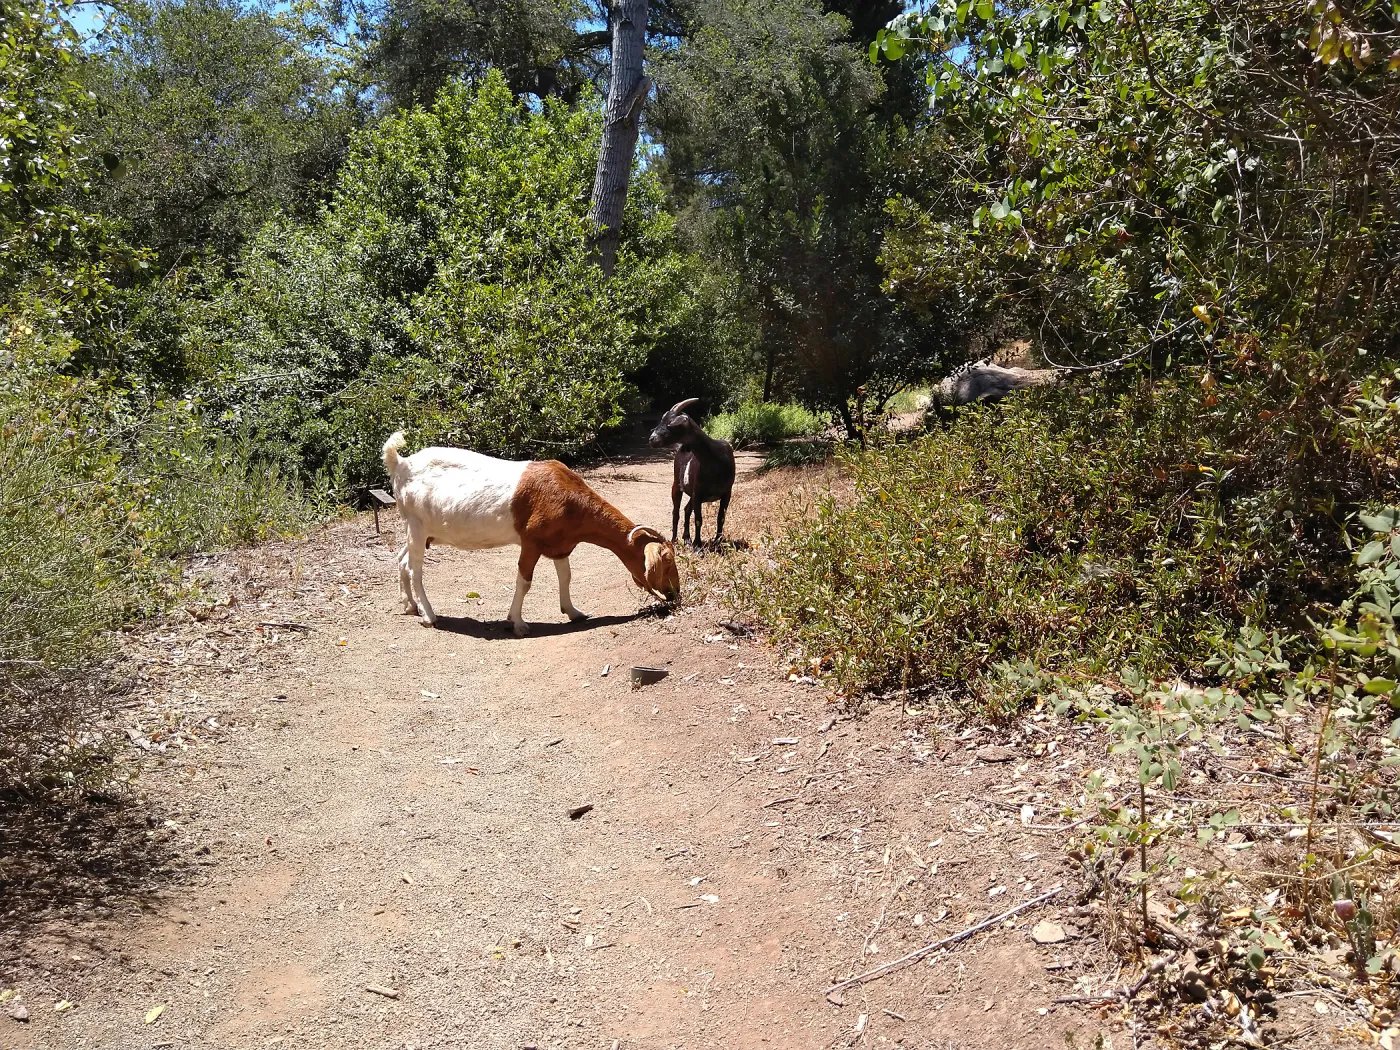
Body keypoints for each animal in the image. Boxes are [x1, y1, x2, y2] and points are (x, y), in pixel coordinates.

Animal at [383, 432, 679, 636]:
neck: (570, 499)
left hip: (418, 530)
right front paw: (517, 623)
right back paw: (429, 615)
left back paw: (409, 605)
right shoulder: (531, 542)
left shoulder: (560, 544)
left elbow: (566, 577)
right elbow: (524, 581)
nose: (674, 594)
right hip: (417, 526)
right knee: (415, 569)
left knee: (402, 559)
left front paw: (573, 612)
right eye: (666, 562)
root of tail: (401, 463)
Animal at [647, 398, 736, 546]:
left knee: (686, 509)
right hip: (677, 485)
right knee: (676, 512)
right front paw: (697, 545)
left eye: (670, 423)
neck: (716, 460)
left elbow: (721, 518)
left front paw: (718, 541)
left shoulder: (726, 492)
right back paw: (675, 540)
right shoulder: (698, 493)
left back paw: (687, 538)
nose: (652, 439)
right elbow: (699, 519)